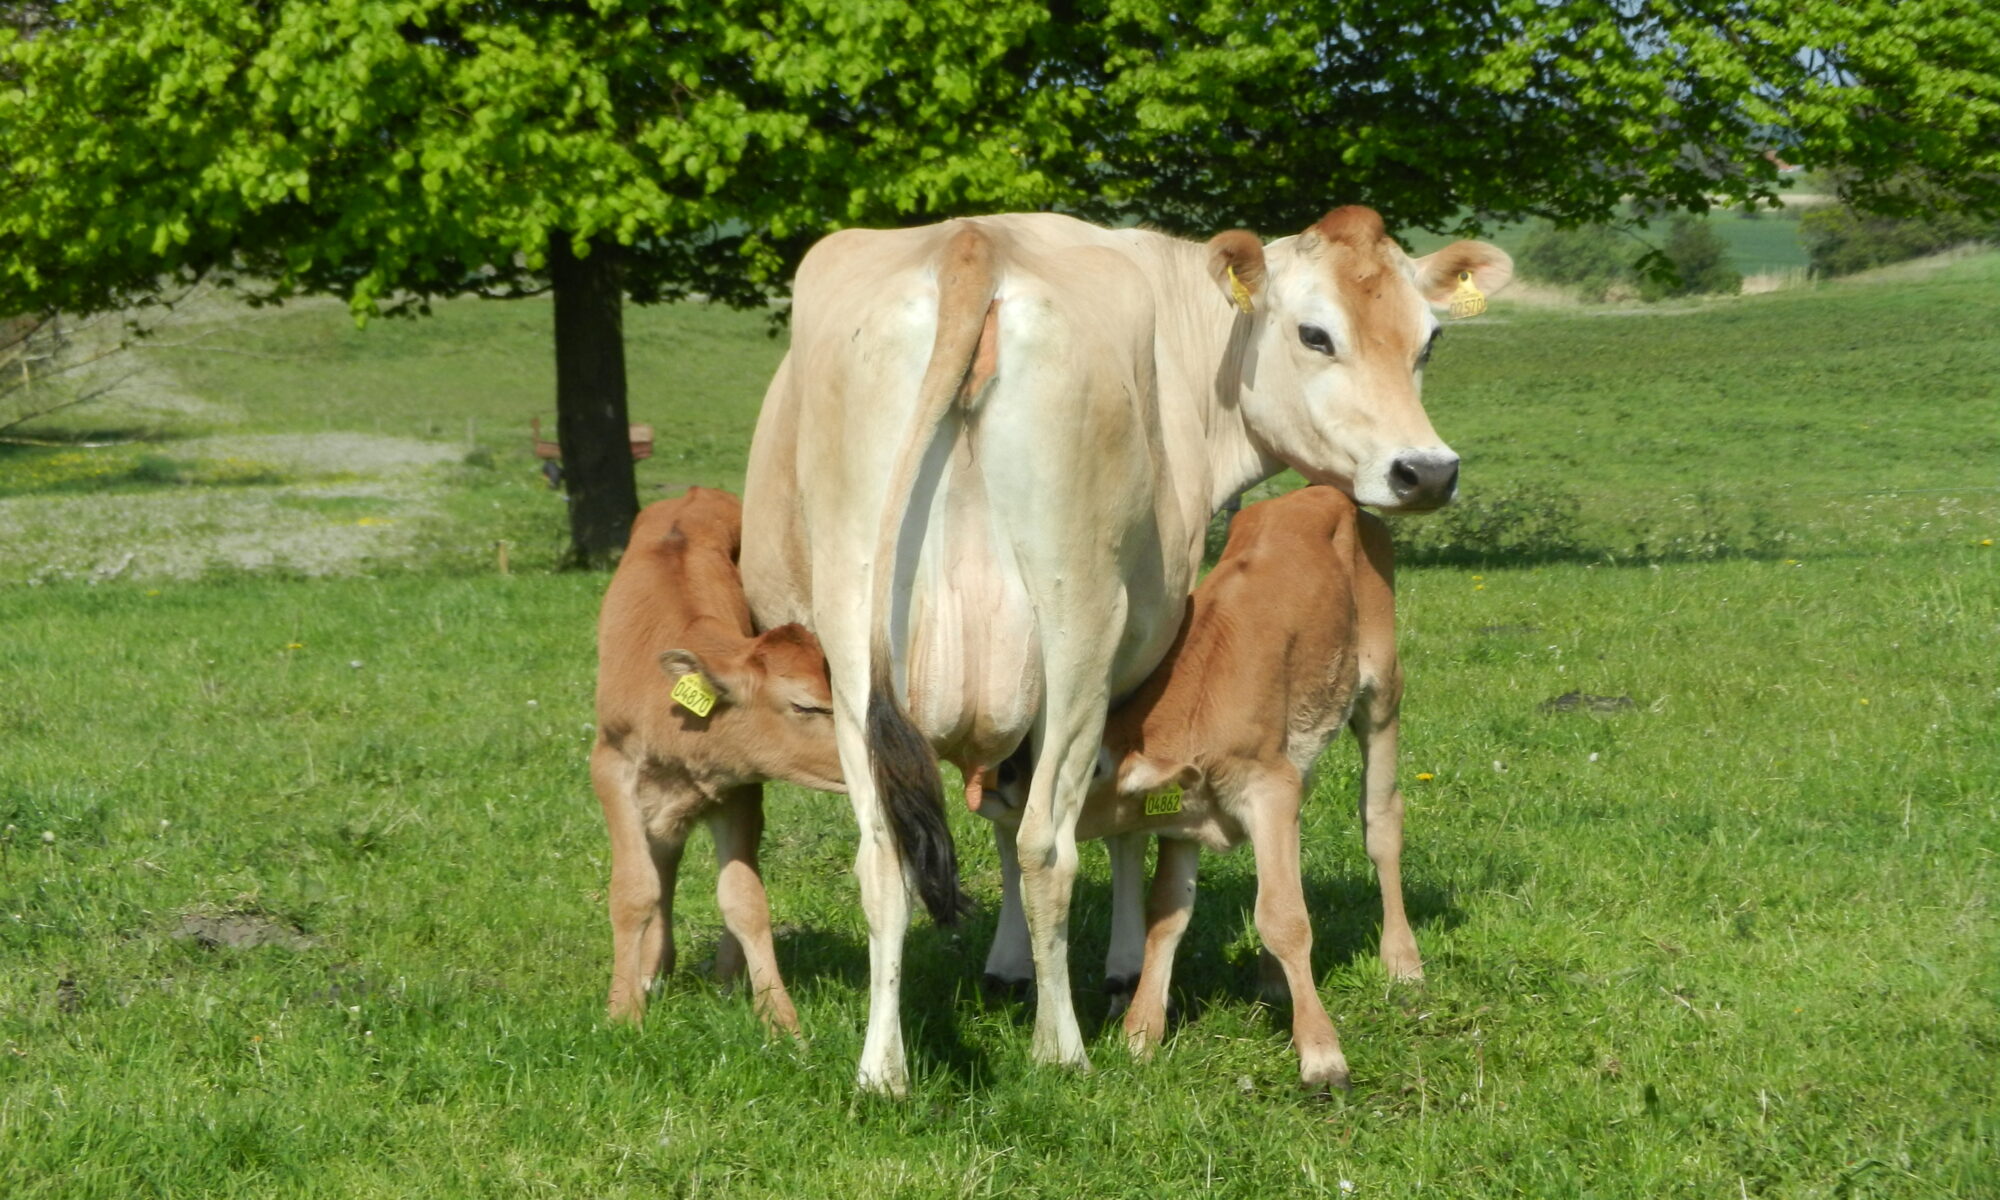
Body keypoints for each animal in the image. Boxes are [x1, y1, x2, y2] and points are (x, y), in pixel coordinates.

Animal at [588, 486, 848, 1032]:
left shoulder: (742, 787)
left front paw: (777, 1016)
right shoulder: (610, 766)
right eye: (805, 705)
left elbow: (745, 898)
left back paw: (725, 976)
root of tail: (694, 494)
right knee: (662, 863)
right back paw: (653, 969)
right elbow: (634, 890)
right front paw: (624, 1008)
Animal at [752, 209, 1512, 1096]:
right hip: (1077, 627)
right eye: (1315, 333)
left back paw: (883, 1070)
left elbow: (1010, 815)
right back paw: (1062, 1050)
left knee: (884, 863)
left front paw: (1010, 966)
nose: (1425, 471)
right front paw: (1116, 975)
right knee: (1048, 848)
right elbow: (1117, 831)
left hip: (851, 645)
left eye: (1430, 339)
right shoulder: (1130, 667)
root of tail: (973, 243)